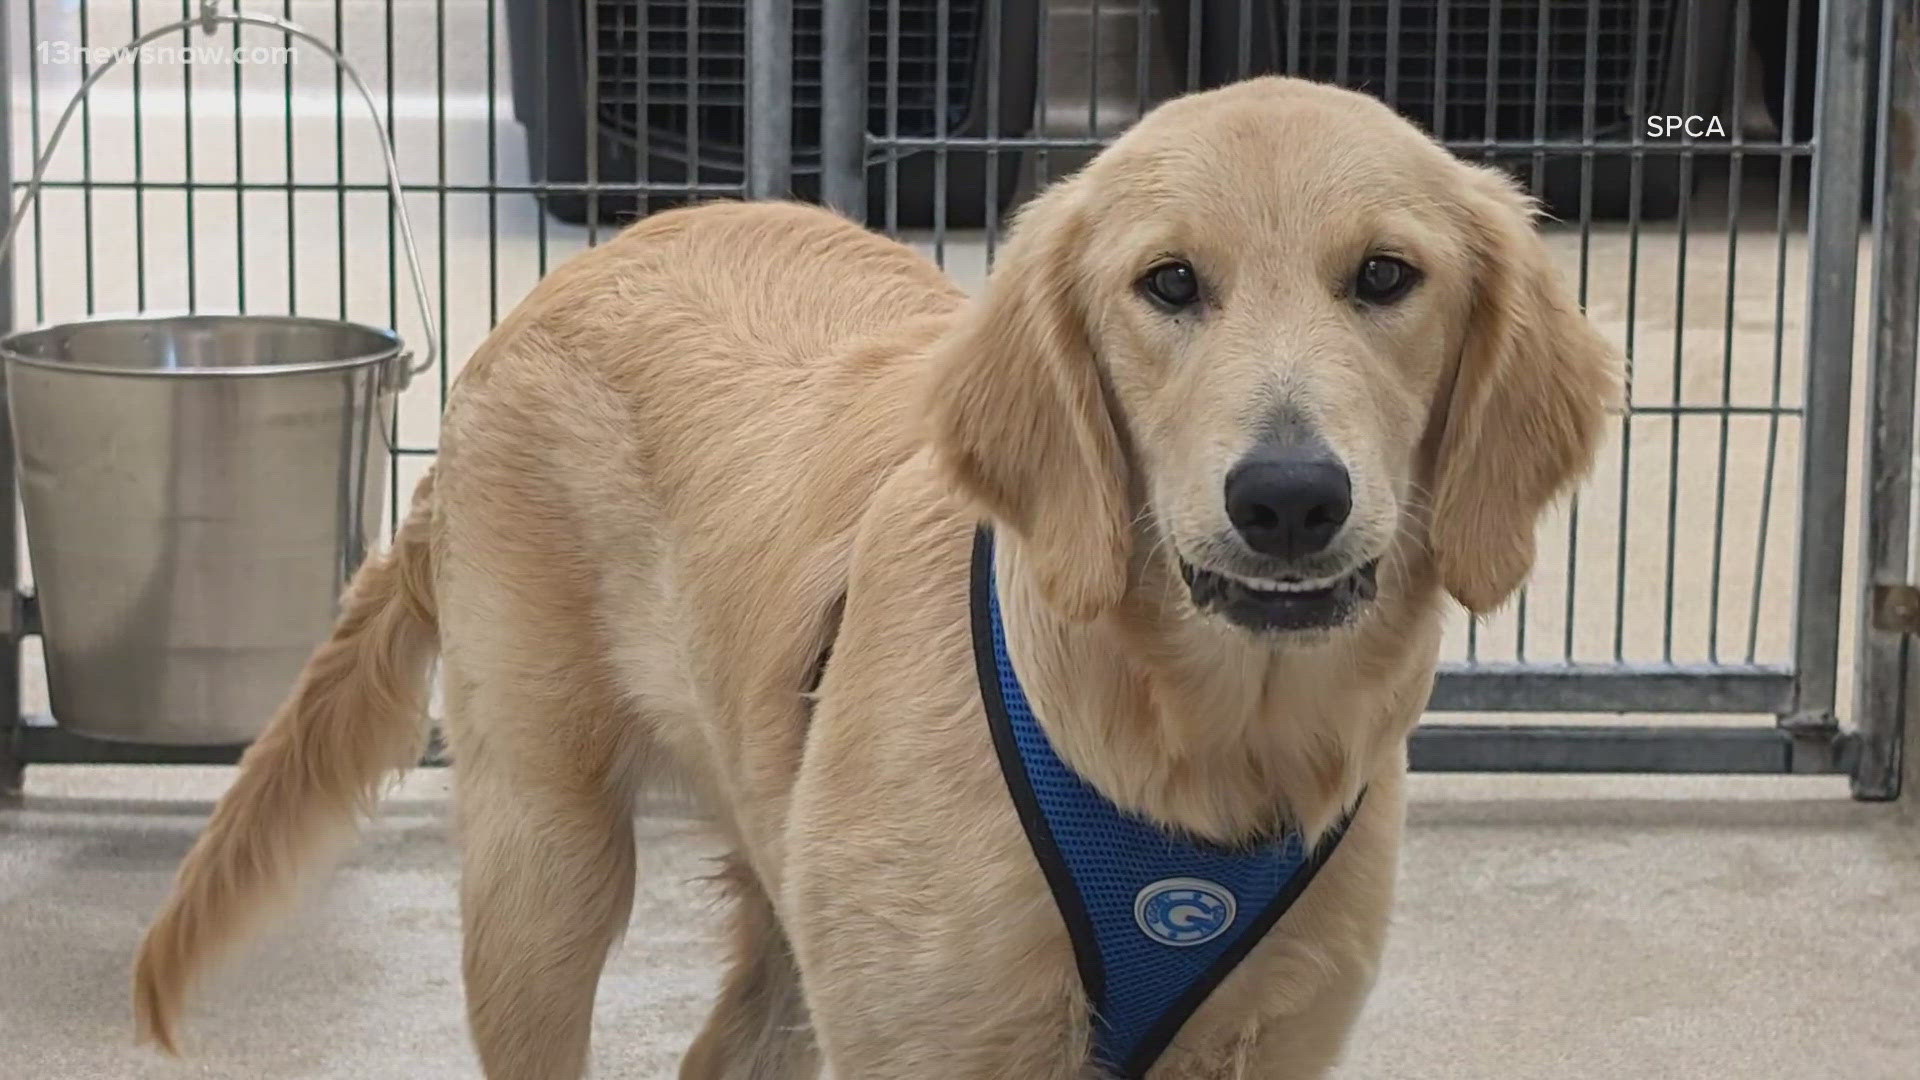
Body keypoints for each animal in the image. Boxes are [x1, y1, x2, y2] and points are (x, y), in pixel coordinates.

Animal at [127, 73, 1620, 1068]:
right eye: (1169, 284)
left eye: (1385, 276)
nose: (1291, 499)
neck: (1194, 757)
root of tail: (543, 300)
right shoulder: (927, 1037)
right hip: (544, 869)